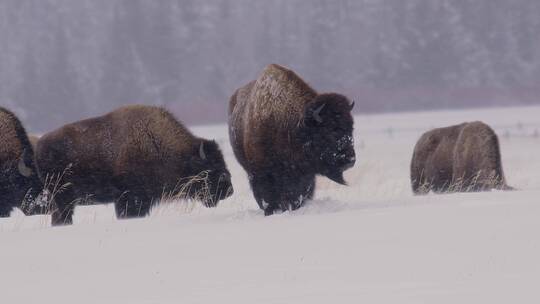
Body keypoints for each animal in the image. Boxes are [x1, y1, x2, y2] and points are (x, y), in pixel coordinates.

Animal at [227, 63, 354, 215]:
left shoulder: (304, 176)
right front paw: (271, 211)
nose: (350, 160)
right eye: (329, 132)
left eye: (351, 128)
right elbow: (267, 196)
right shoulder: (261, 173)